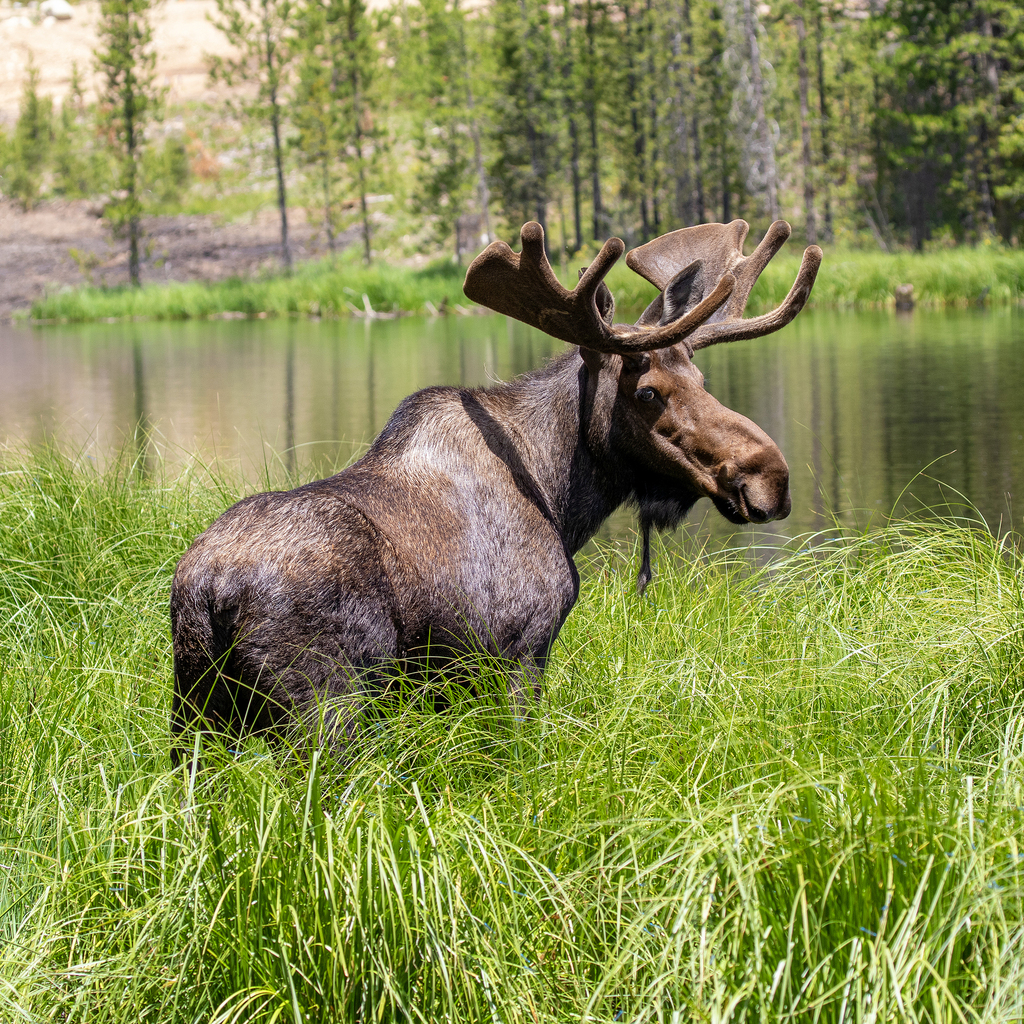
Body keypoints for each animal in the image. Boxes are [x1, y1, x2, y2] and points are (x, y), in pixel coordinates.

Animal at [170, 219, 821, 766]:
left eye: (703, 380)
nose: (771, 477)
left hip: (195, 713)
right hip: (325, 704)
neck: (562, 498)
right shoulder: (517, 650)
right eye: (647, 392)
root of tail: (207, 590)